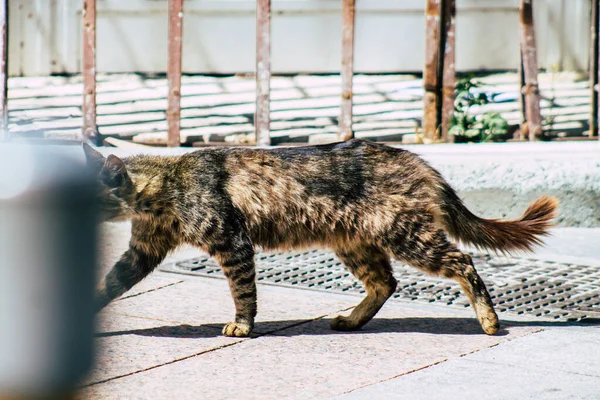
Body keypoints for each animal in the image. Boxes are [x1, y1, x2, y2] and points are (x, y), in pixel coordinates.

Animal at [84, 141, 556, 338]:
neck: (164, 186)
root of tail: (418, 160)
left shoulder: (233, 244)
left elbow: (243, 292)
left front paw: (243, 325)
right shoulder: (141, 252)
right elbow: (108, 284)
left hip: (407, 236)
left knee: (463, 263)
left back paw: (489, 321)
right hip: (355, 243)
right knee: (386, 282)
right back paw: (351, 320)